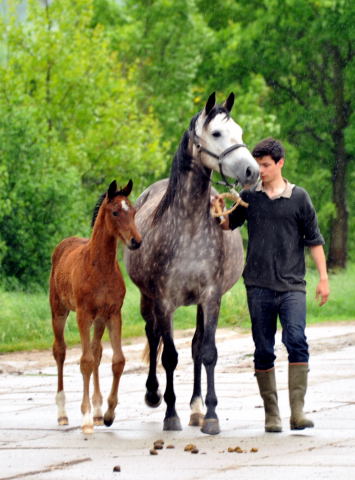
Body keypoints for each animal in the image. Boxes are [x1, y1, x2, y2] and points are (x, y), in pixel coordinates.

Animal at [125, 92, 258, 434]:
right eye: (217, 133)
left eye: (240, 131)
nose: (251, 171)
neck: (188, 227)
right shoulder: (164, 300)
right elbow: (169, 356)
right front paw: (169, 414)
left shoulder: (211, 297)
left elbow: (207, 352)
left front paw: (210, 415)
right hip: (147, 299)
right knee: (153, 335)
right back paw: (153, 394)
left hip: (198, 303)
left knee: (196, 345)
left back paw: (196, 408)